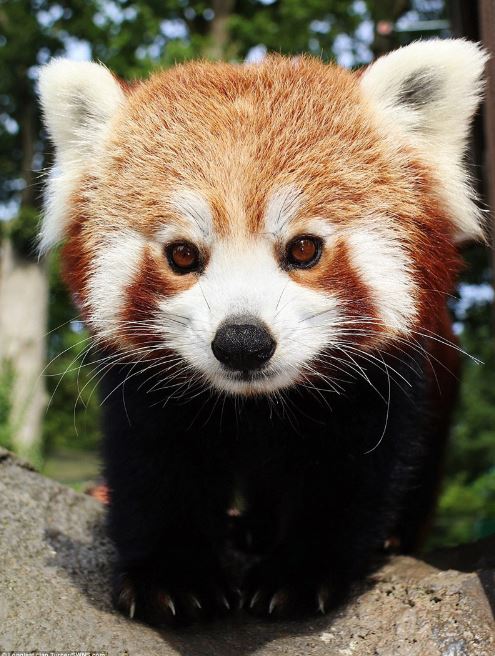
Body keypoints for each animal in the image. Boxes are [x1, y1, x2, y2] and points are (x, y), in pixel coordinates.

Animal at [38, 39, 488, 624]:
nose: (242, 342)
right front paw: (173, 575)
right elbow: (154, 464)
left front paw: (299, 575)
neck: (256, 403)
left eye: (304, 249)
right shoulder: (142, 385)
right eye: (183, 255)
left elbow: (348, 474)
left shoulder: (384, 379)